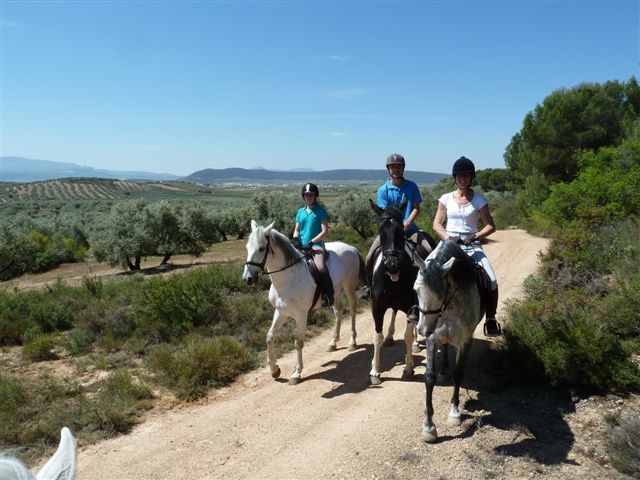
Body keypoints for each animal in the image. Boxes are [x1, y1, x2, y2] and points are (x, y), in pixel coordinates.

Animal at [241, 219, 364, 384]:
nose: (247, 279)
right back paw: (333, 343)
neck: (288, 279)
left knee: (352, 311)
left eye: (261, 249)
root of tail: (351, 248)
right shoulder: (281, 312)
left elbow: (298, 343)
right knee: (338, 312)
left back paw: (352, 342)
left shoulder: (301, 315)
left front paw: (296, 373)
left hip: (349, 287)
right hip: (336, 293)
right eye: (247, 247)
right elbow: (269, 336)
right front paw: (274, 370)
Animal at [368, 198, 422, 386]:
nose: (392, 265)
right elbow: (377, 337)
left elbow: (407, 336)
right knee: (394, 312)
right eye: (381, 231)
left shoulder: (412, 306)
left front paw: (408, 369)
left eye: (401, 230)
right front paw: (375, 372)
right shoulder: (377, 306)